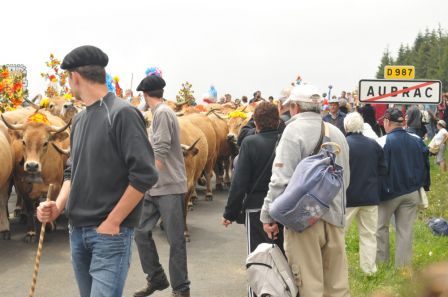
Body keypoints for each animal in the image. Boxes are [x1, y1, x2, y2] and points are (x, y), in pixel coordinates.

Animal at [1, 110, 70, 242]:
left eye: (45, 143)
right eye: (23, 141)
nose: (32, 166)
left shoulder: (56, 185)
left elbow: (52, 202)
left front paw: (49, 224)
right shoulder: (21, 185)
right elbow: (29, 207)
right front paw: (31, 232)